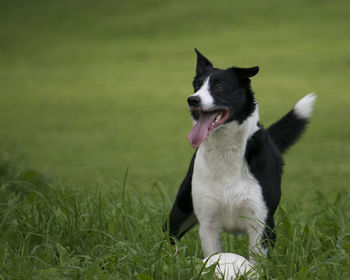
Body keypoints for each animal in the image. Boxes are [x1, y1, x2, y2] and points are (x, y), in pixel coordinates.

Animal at [165, 48, 316, 262]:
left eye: (219, 86)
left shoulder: (261, 225)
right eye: (196, 86)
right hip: (180, 211)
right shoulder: (208, 225)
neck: (226, 150)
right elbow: (212, 257)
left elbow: (257, 262)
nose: (192, 99)